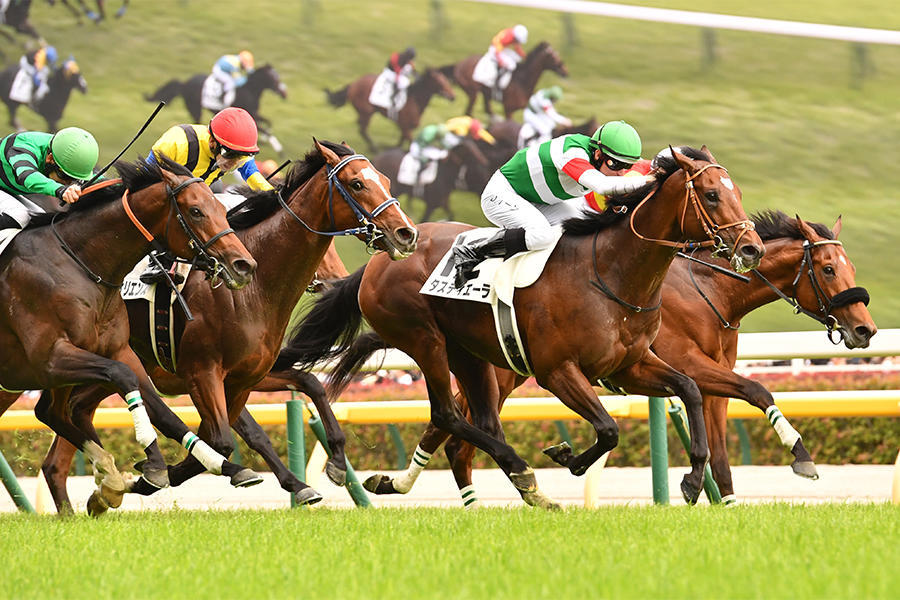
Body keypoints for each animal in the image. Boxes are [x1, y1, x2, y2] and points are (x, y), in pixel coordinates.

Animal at [0, 156, 256, 516]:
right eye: (195, 211)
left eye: (221, 207)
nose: (243, 264)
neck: (81, 264)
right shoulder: (50, 358)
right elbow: (122, 378)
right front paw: (148, 467)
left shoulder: (118, 350)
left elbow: (163, 411)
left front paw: (219, 463)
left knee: (51, 413)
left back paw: (107, 474)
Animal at [37, 139, 420, 510]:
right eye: (357, 184)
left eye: (385, 181)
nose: (406, 233)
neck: (255, 286)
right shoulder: (201, 372)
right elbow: (220, 439)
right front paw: (150, 477)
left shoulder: (247, 374)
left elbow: (306, 388)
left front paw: (330, 466)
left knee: (64, 433)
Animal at [272, 145, 760, 506]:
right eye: (712, 195)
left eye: (737, 191)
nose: (752, 248)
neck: (611, 271)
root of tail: (380, 259)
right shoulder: (558, 371)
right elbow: (609, 428)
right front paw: (568, 457)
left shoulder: (629, 366)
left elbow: (691, 390)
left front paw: (692, 480)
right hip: (424, 339)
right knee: (447, 414)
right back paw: (520, 473)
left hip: (469, 354)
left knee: (480, 421)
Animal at [324, 67, 458, 151]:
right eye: (440, 82)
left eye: (446, 80)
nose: (453, 96)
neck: (414, 100)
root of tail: (353, 84)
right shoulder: (405, 126)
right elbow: (409, 141)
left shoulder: (405, 127)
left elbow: (401, 141)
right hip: (366, 113)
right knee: (362, 130)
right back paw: (374, 148)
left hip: (365, 113)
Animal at [356, 209, 872, 504]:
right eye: (828, 268)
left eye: (849, 266)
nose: (864, 329)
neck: (712, 291)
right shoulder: (689, 364)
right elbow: (755, 387)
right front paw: (800, 458)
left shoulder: (705, 375)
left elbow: (728, 441)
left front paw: (726, 502)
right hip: (489, 366)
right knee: (454, 430)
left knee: (454, 429)